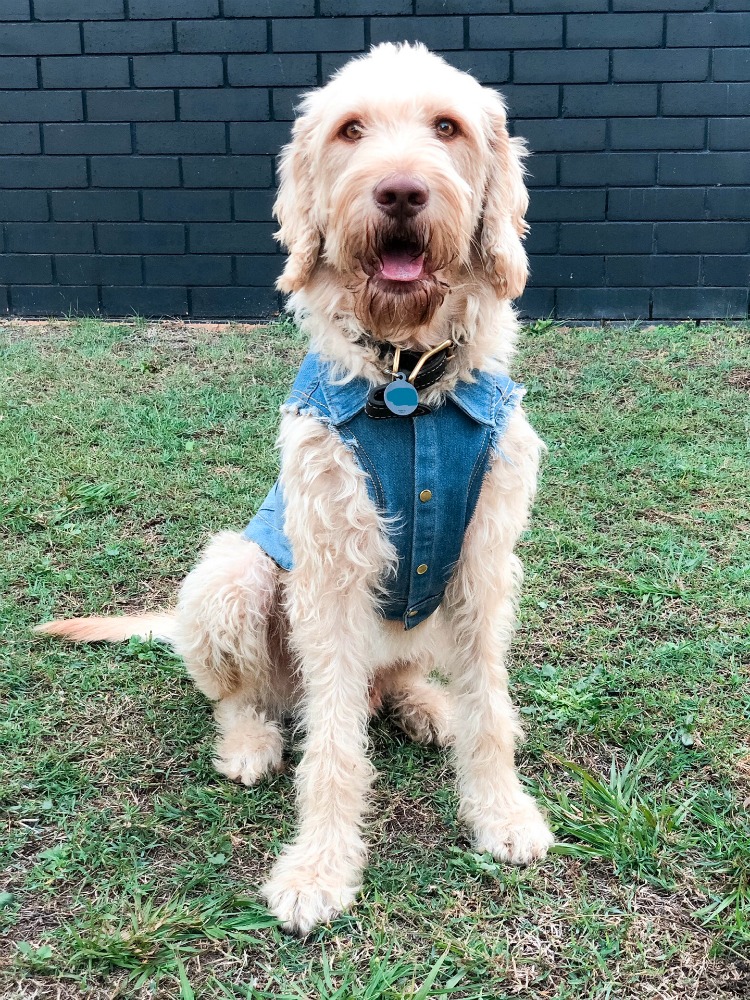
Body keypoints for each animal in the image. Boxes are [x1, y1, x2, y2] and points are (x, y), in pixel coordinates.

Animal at [38, 43, 556, 932]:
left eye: (446, 127)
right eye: (351, 130)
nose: (400, 192)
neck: (408, 380)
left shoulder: (484, 563)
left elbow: (491, 704)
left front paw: (502, 814)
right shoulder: (331, 572)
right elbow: (334, 744)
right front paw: (319, 869)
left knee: (395, 685)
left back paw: (426, 706)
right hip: (233, 574)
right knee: (247, 696)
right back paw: (251, 742)